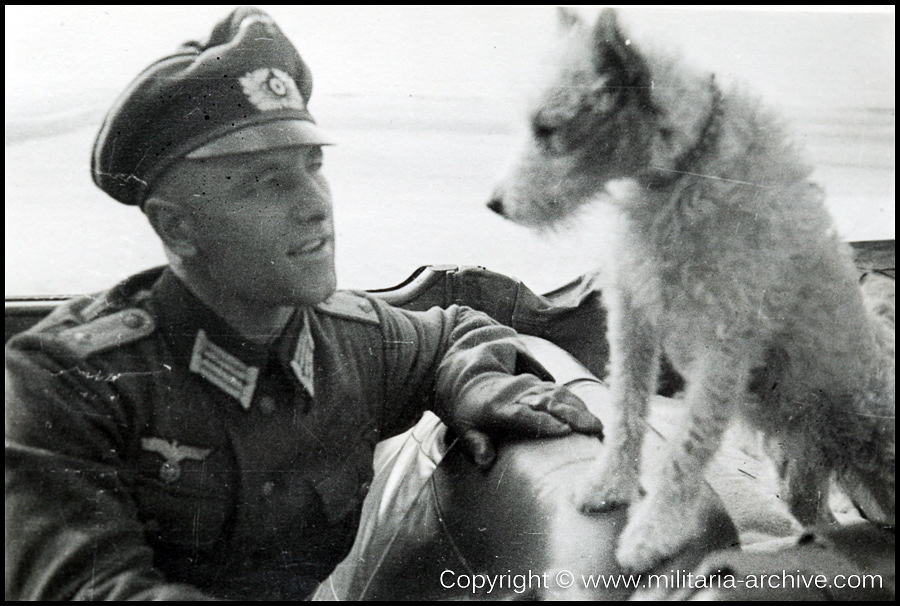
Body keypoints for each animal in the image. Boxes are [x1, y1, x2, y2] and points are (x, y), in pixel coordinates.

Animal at [488, 7, 896, 572]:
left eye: (547, 129)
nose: (494, 204)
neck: (683, 171)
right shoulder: (632, 317)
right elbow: (625, 409)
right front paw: (609, 484)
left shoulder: (724, 348)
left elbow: (688, 445)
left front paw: (654, 532)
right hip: (797, 458)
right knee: (815, 511)